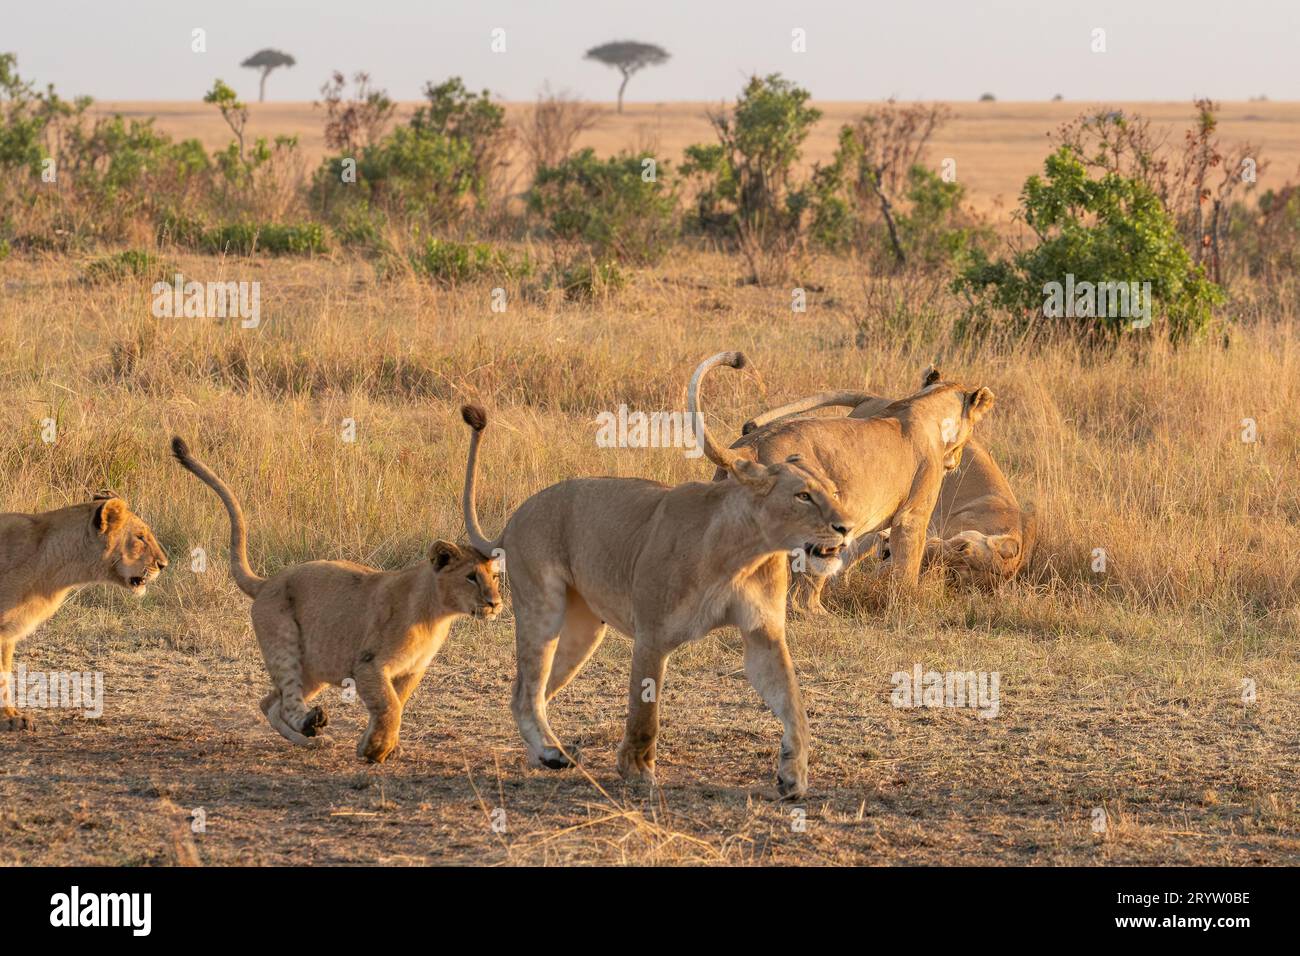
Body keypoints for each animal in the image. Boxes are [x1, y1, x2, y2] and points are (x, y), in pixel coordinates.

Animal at [0, 494, 167, 730]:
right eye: (140, 537)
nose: (163, 564)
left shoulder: (8, 634)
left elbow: (5, 673)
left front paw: (12, 715)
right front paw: (8, 718)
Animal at [170, 437, 502, 763]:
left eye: (495, 576)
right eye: (471, 577)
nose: (495, 603)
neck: (438, 614)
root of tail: (267, 582)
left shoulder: (411, 670)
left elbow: (395, 705)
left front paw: (380, 746)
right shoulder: (368, 664)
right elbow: (390, 706)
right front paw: (375, 749)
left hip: (315, 665)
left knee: (270, 702)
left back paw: (310, 739)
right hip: (286, 645)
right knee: (285, 701)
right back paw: (310, 723)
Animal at [459, 353, 852, 798]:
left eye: (833, 492)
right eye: (803, 496)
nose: (847, 527)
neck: (744, 552)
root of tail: (513, 520)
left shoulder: (762, 635)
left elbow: (793, 703)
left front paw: (794, 774)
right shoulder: (652, 635)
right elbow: (644, 709)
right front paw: (636, 769)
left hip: (582, 632)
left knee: (527, 691)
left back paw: (545, 754)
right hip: (543, 609)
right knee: (527, 690)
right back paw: (550, 753)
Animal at [725, 366, 995, 613]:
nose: (957, 461)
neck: (924, 405)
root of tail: (751, 446)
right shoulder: (913, 515)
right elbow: (908, 562)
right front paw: (909, 601)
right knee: (801, 593)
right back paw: (820, 613)